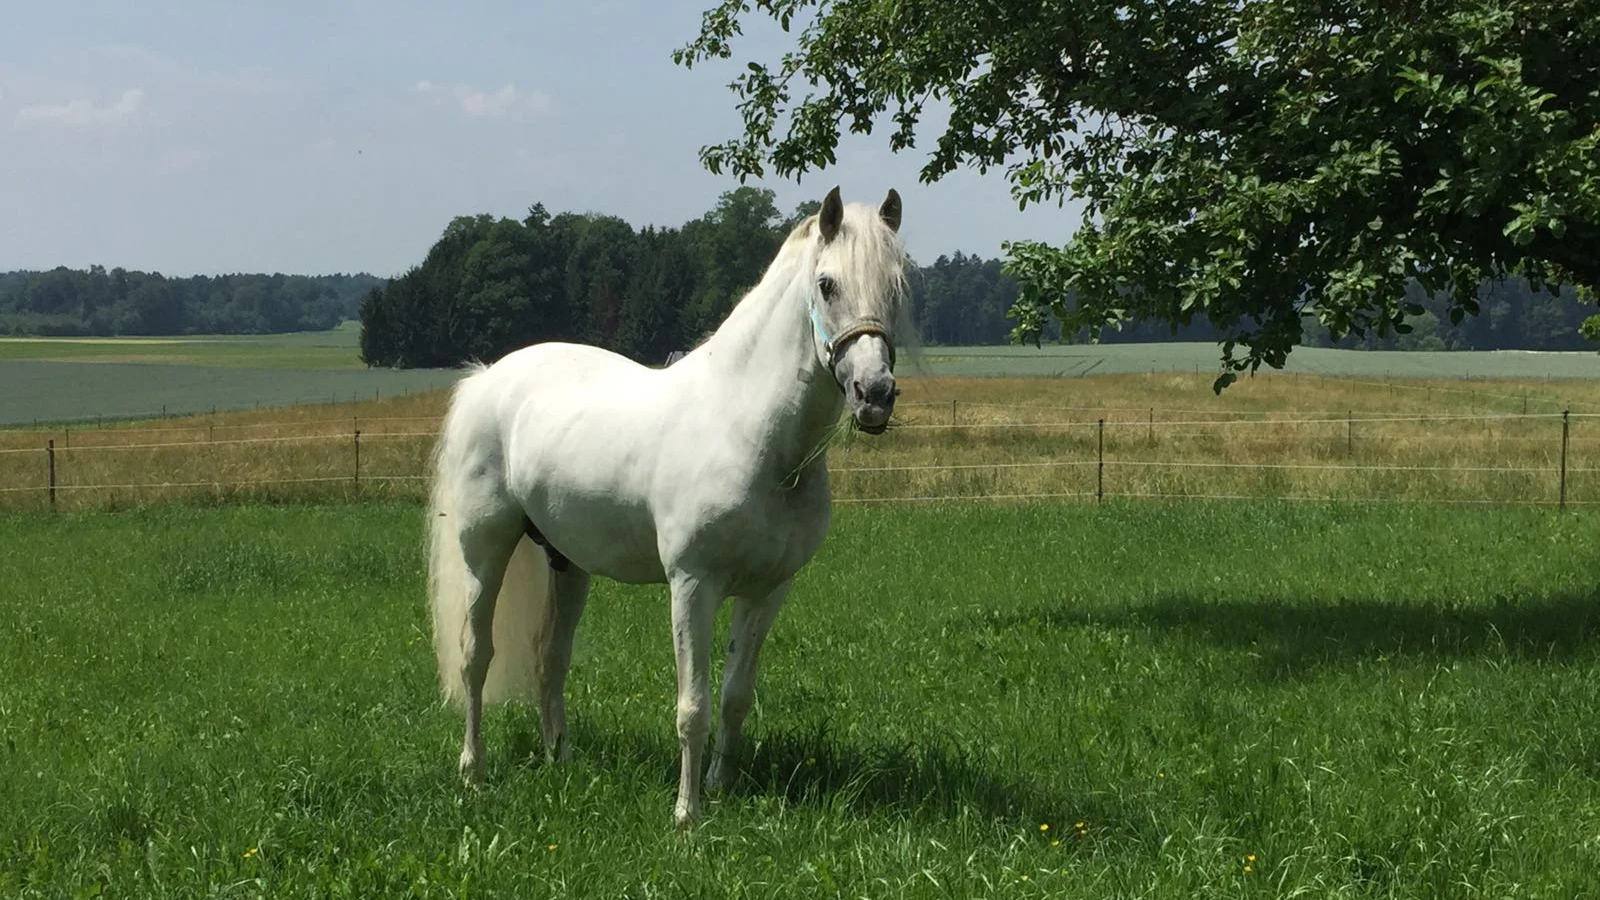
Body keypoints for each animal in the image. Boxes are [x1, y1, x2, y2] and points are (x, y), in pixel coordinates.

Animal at [426, 186, 910, 826]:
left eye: (896, 287)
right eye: (827, 284)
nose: (874, 395)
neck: (749, 432)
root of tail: (486, 379)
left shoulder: (767, 592)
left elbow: (734, 698)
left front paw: (722, 788)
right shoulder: (692, 585)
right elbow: (693, 706)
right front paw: (687, 814)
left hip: (568, 563)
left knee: (549, 658)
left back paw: (562, 760)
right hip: (485, 550)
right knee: (475, 657)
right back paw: (473, 774)